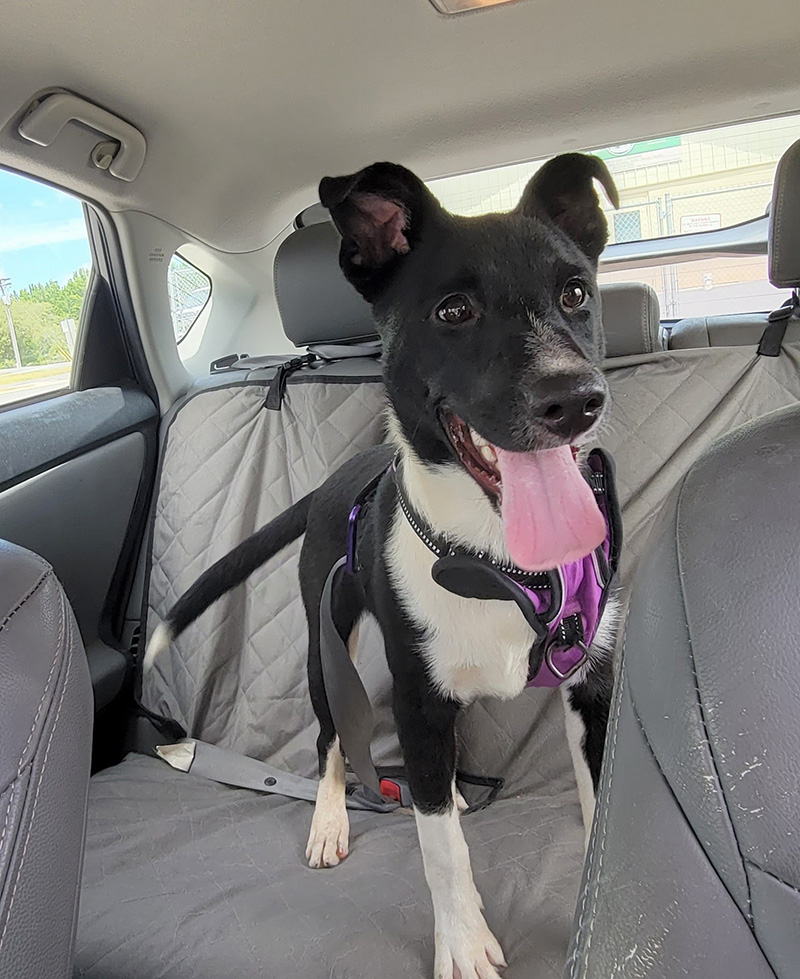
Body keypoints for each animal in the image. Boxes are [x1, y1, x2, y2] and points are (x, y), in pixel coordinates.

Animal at [152, 153, 624, 979]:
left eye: (575, 293)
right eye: (454, 310)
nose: (575, 399)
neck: (498, 564)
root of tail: (335, 482)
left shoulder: (589, 684)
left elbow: (596, 803)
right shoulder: (416, 694)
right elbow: (442, 853)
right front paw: (462, 944)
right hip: (324, 644)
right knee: (331, 742)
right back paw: (332, 819)